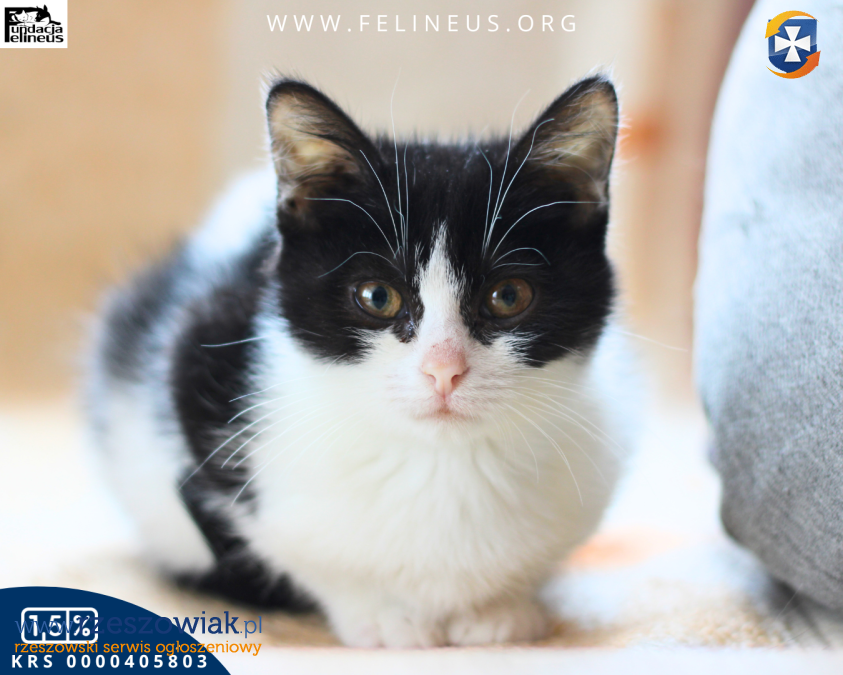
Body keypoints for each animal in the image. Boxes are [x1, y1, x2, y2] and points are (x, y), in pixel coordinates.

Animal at [86, 75, 634, 647]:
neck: (439, 463)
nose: (443, 369)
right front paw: (382, 613)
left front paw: (498, 609)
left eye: (508, 296)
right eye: (376, 296)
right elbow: (268, 538)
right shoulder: (198, 357)